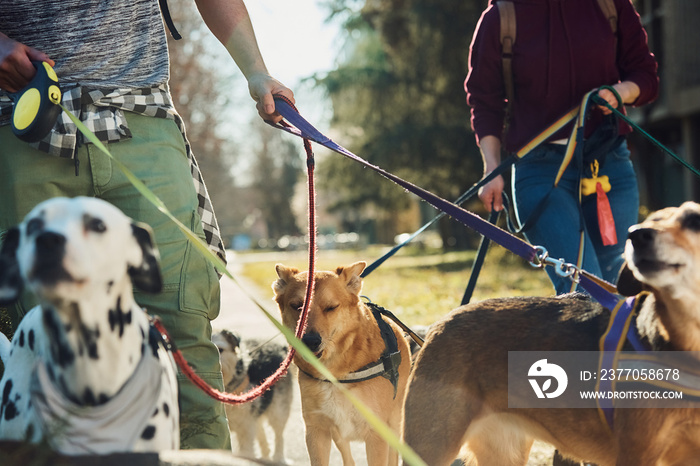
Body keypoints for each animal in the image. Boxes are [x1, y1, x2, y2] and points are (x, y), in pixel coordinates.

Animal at [274, 262, 412, 466]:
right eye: (297, 306)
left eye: (331, 307)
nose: (310, 341)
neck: (335, 373)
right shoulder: (317, 431)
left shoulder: (376, 436)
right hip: (339, 433)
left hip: (394, 425)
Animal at [402, 203, 700, 466]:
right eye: (653, 220)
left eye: (694, 219)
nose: (636, 234)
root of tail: (440, 323)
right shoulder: (637, 454)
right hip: (430, 446)